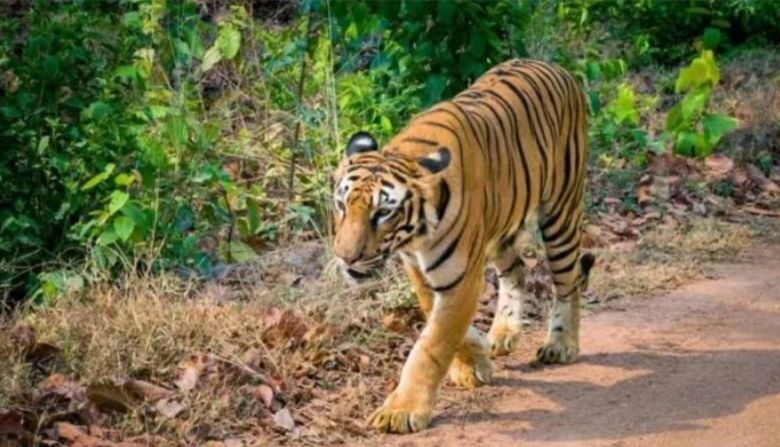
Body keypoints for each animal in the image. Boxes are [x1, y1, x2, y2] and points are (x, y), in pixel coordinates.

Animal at [331, 59, 594, 434]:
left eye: (382, 213)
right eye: (341, 205)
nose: (346, 257)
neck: (416, 237)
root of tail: (557, 68)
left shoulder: (461, 277)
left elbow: (432, 344)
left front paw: (401, 410)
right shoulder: (420, 270)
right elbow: (439, 321)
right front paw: (474, 360)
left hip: (560, 213)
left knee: (568, 283)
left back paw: (561, 344)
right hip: (501, 228)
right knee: (517, 272)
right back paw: (502, 334)